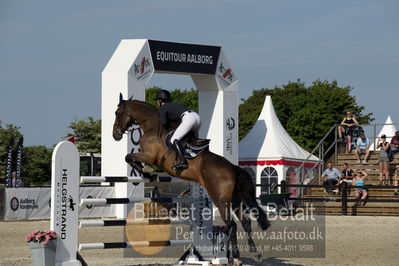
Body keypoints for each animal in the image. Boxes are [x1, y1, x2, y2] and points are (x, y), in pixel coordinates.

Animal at [111, 94, 270, 258]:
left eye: (117, 113)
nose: (115, 135)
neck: (151, 126)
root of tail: (234, 168)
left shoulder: (149, 155)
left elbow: (128, 157)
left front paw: (144, 170)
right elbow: (129, 157)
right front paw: (146, 171)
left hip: (220, 200)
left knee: (231, 224)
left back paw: (234, 255)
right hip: (235, 199)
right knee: (245, 222)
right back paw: (253, 252)